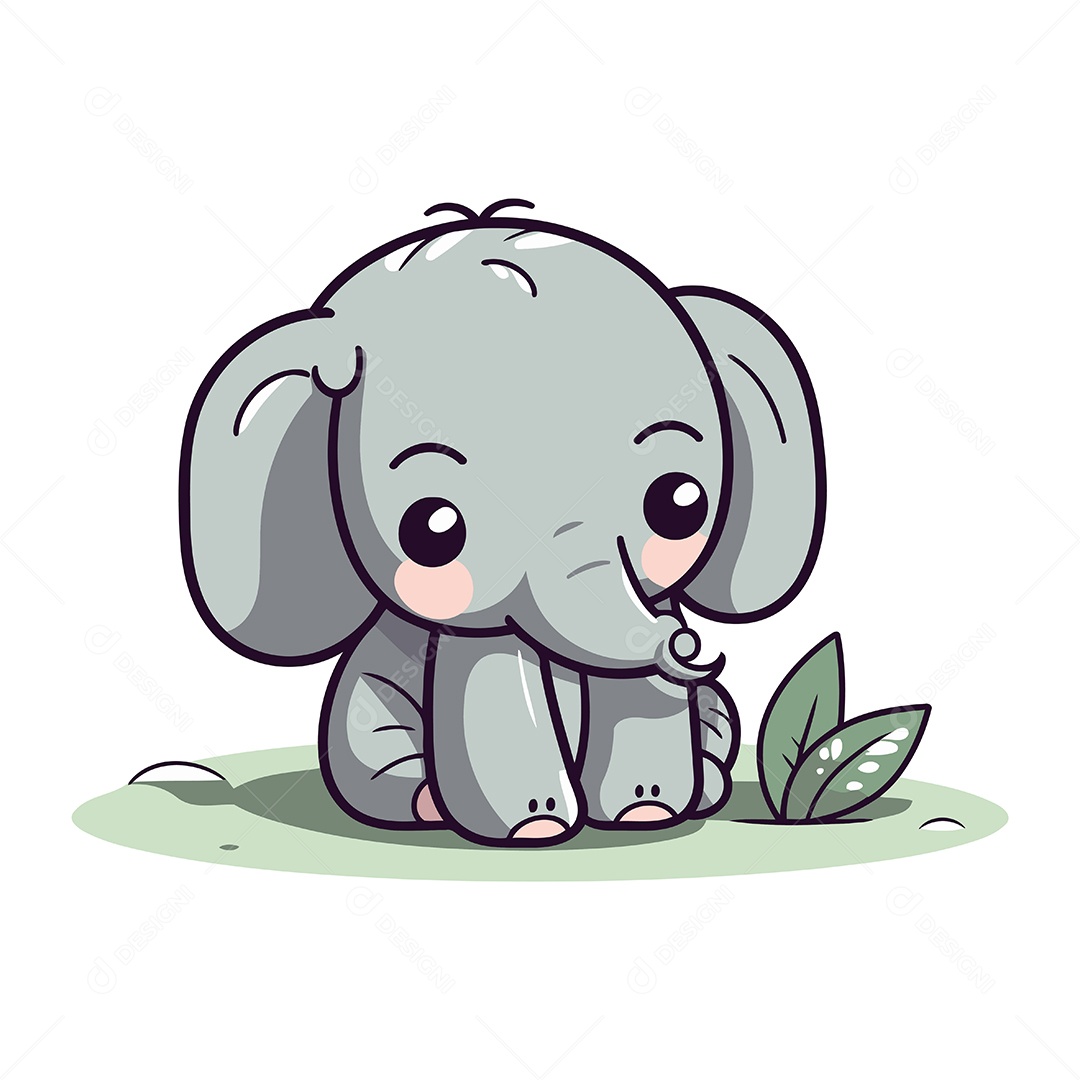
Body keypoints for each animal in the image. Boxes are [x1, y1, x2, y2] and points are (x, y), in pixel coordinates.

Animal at [180, 198, 825, 847]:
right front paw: (535, 827)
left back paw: (709, 786)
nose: (691, 645)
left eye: (680, 502)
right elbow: (493, 697)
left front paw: (645, 812)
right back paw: (425, 805)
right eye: (432, 531)